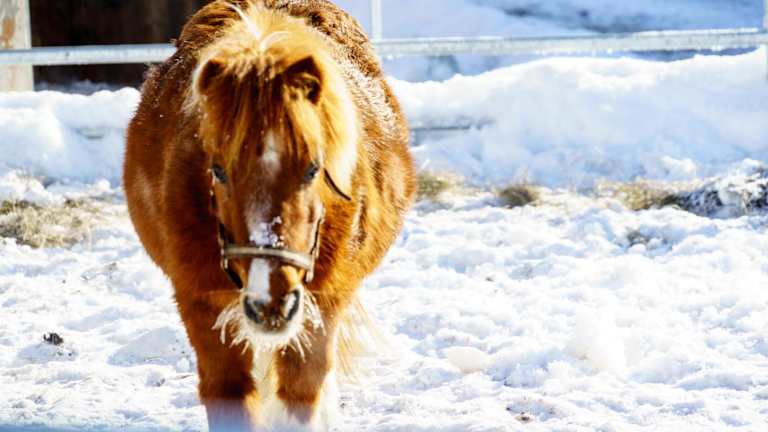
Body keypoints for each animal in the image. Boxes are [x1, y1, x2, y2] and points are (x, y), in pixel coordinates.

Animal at [123, 1, 416, 430]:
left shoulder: (321, 308)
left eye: (313, 169)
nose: (271, 301)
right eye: (218, 170)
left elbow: (301, 393)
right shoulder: (201, 306)